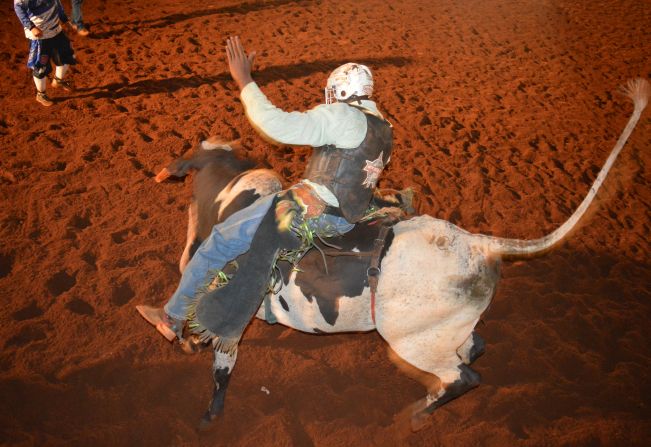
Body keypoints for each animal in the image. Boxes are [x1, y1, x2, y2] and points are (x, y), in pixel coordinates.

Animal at [152, 79, 648, 430]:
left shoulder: (224, 309)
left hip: (410, 339)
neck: (231, 198)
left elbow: (221, 362)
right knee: (475, 348)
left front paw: (207, 415)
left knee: (462, 377)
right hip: (445, 330)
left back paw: (414, 416)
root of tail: (479, 243)